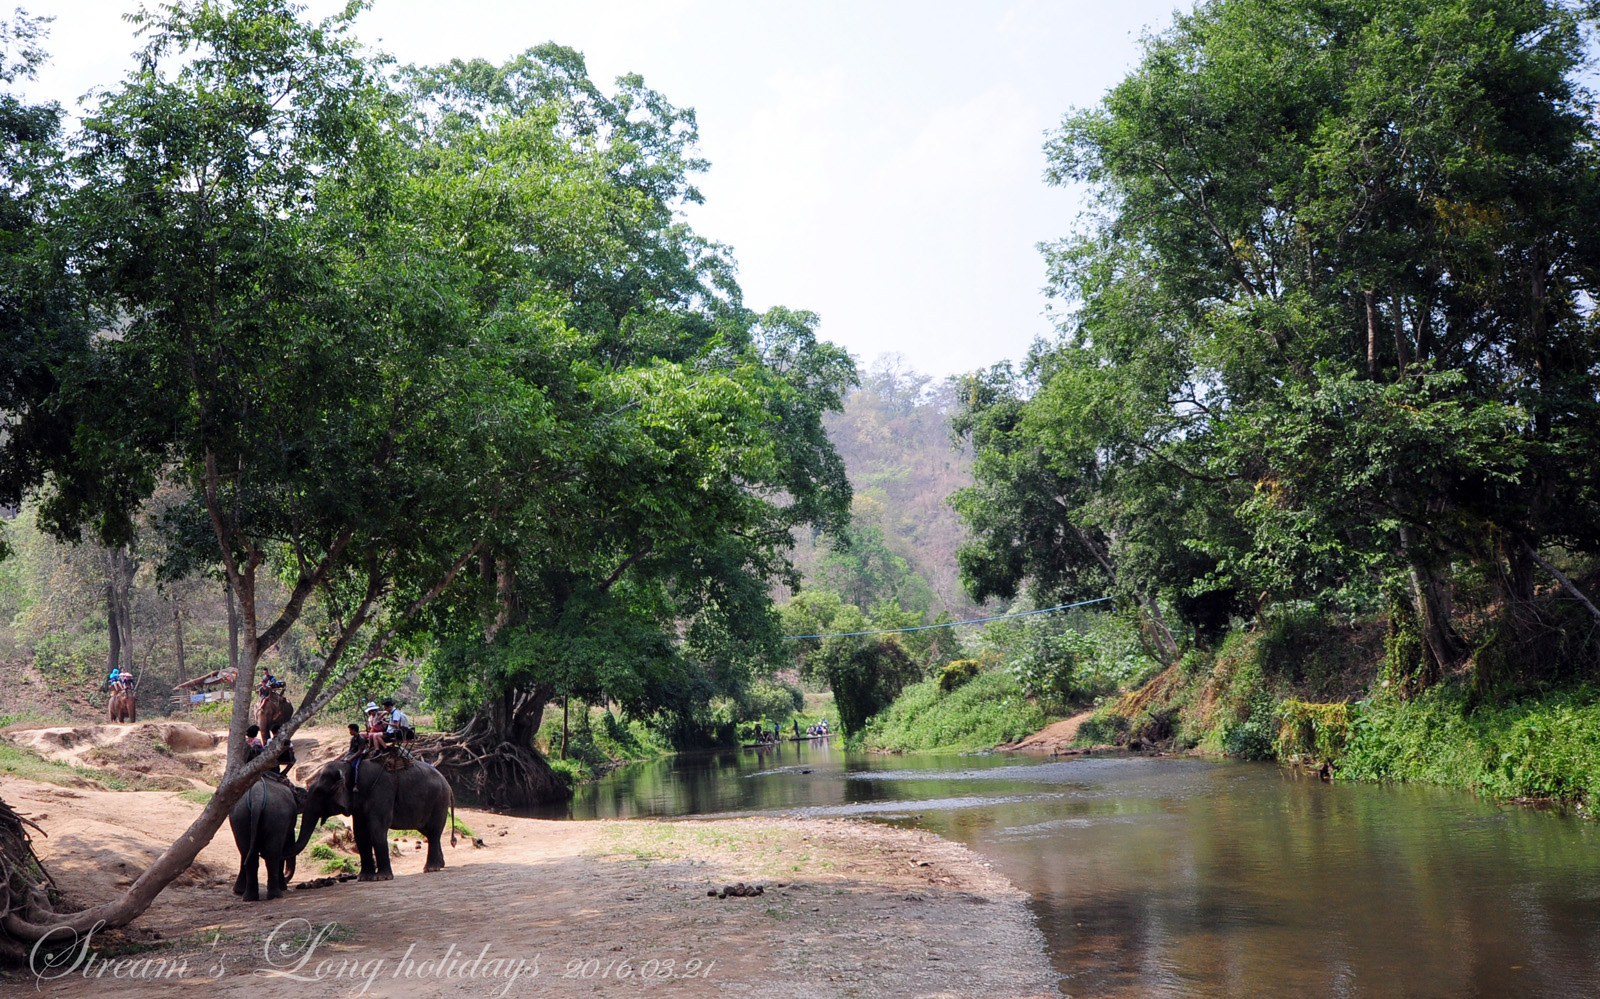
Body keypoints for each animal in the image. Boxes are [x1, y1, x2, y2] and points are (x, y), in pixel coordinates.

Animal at [297, 755, 457, 883]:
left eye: (319, 792)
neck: (351, 768)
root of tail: (448, 785)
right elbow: (360, 834)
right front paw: (364, 878)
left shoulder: (381, 792)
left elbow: (376, 830)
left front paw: (382, 878)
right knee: (428, 832)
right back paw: (440, 865)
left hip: (439, 802)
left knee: (434, 832)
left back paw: (431, 868)